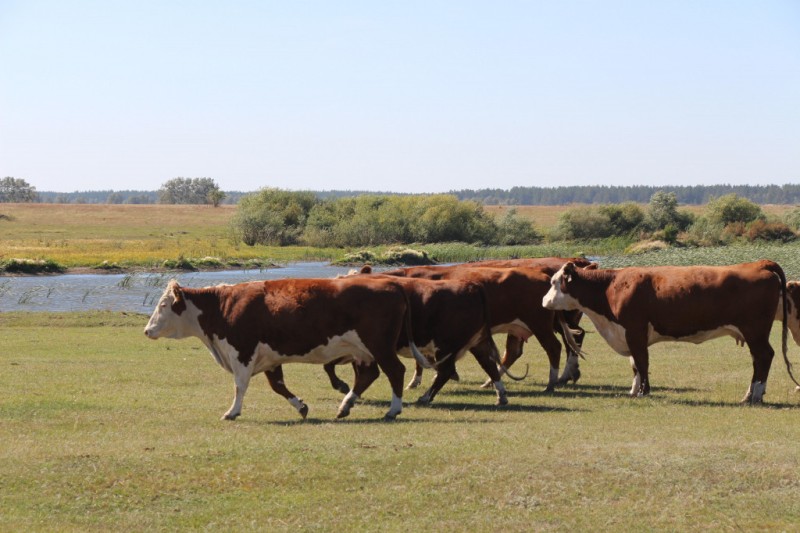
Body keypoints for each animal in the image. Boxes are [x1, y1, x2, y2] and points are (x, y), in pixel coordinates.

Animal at [142, 274, 432, 420]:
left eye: (163, 305)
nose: (147, 330)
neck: (223, 306)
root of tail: (390, 283)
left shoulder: (242, 352)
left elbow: (240, 385)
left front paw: (232, 411)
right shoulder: (269, 358)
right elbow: (278, 386)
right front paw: (301, 406)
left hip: (379, 345)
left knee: (395, 371)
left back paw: (393, 410)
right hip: (364, 350)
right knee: (369, 375)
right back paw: (345, 406)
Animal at [540, 258, 796, 404]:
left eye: (554, 283)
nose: (543, 302)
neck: (610, 287)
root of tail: (758, 264)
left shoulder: (634, 331)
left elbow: (642, 362)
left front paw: (643, 392)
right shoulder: (631, 335)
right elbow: (635, 364)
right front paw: (634, 391)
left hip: (755, 331)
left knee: (764, 357)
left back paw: (754, 395)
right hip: (754, 333)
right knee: (758, 360)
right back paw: (751, 394)